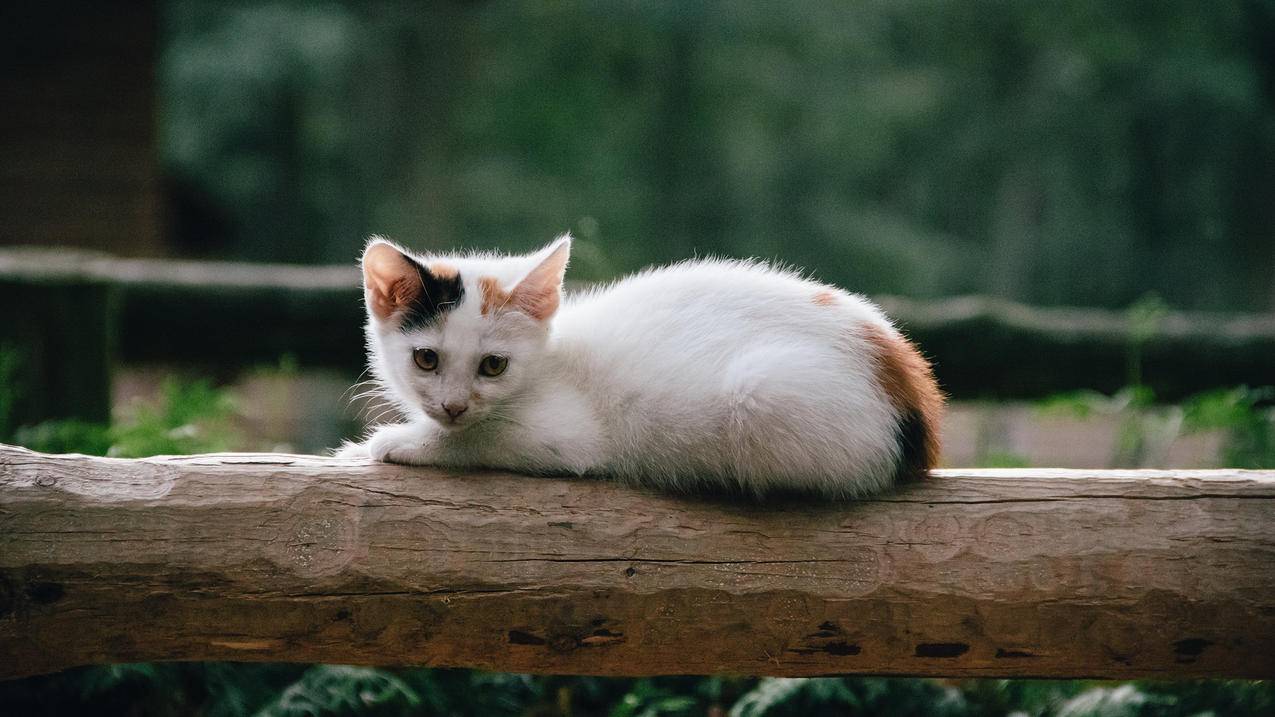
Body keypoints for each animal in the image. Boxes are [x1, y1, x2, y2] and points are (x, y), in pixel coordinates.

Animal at [341, 234, 948, 497]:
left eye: (493, 366)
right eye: (425, 358)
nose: (452, 405)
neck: (549, 361)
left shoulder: (567, 437)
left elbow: (482, 440)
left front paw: (395, 442)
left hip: (763, 393)